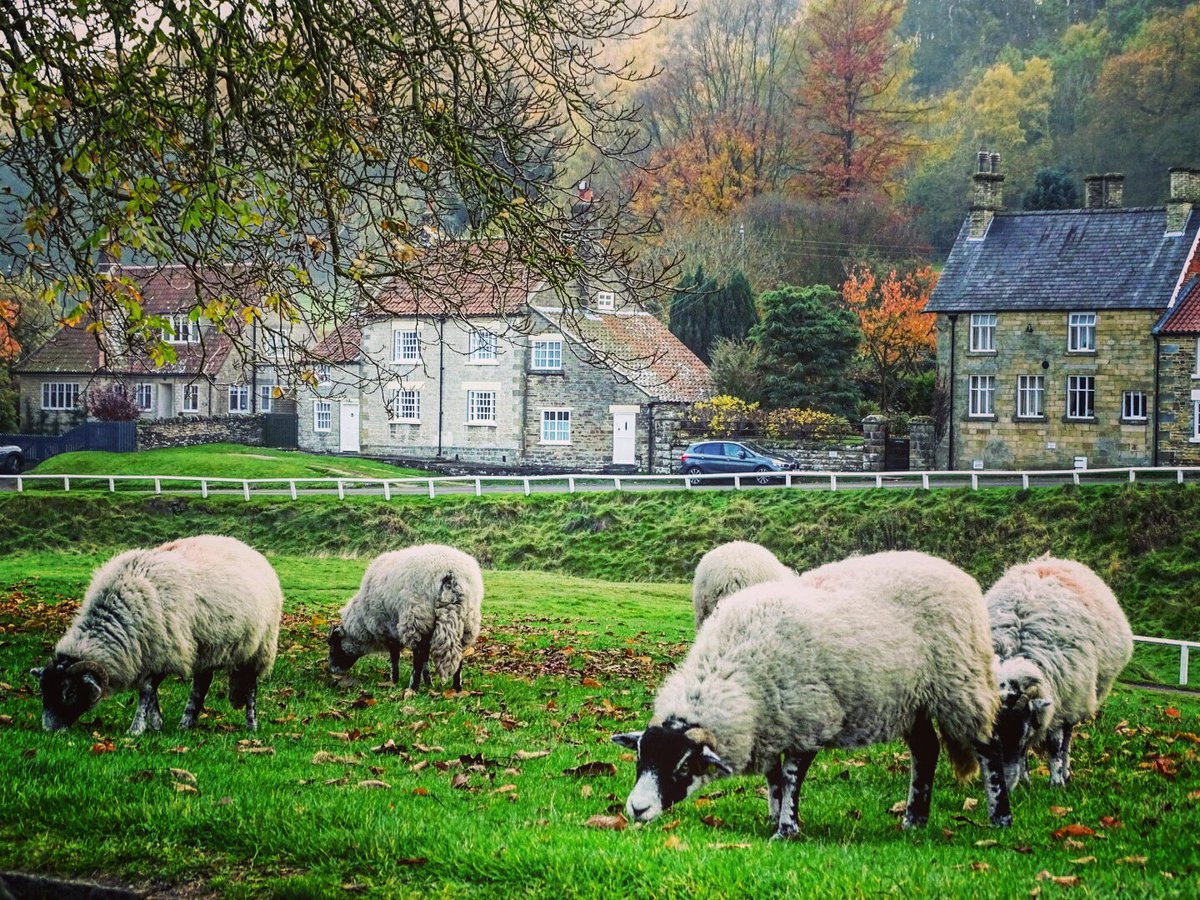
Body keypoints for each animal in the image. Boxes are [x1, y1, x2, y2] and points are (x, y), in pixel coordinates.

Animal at [31, 535, 282, 734]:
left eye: (70, 692)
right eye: (44, 691)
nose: (49, 730)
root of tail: (249, 549)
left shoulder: (164, 648)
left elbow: (147, 691)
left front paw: (136, 729)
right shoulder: (146, 653)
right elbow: (151, 693)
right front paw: (156, 723)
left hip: (258, 645)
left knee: (250, 687)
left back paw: (251, 725)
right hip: (205, 645)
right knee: (202, 683)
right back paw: (186, 723)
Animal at [328, 542, 482, 691]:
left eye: (334, 644)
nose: (332, 671)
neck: (363, 623)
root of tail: (450, 573)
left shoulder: (388, 629)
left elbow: (395, 657)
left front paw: (394, 680)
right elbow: (425, 659)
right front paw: (428, 683)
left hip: (416, 617)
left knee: (418, 655)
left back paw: (413, 688)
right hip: (467, 620)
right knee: (458, 654)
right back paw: (457, 688)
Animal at [609, 554, 1012, 844]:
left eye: (682, 767)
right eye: (640, 759)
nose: (637, 809)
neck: (733, 667)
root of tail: (957, 573)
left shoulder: (808, 718)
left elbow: (790, 776)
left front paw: (786, 829)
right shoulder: (772, 723)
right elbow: (773, 777)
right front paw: (774, 815)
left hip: (960, 682)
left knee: (988, 746)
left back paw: (1000, 818)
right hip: (911, 699)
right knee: (926, 751)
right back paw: (914, 820)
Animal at [984, 561, 1132, 792]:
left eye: (1020, 737)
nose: (1005, 787)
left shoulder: (1058, 704)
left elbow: (1054, 746)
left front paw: (1055, 781)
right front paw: (1026, 780)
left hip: (1075, 698)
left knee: (1067, 738)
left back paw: (1066, 771)